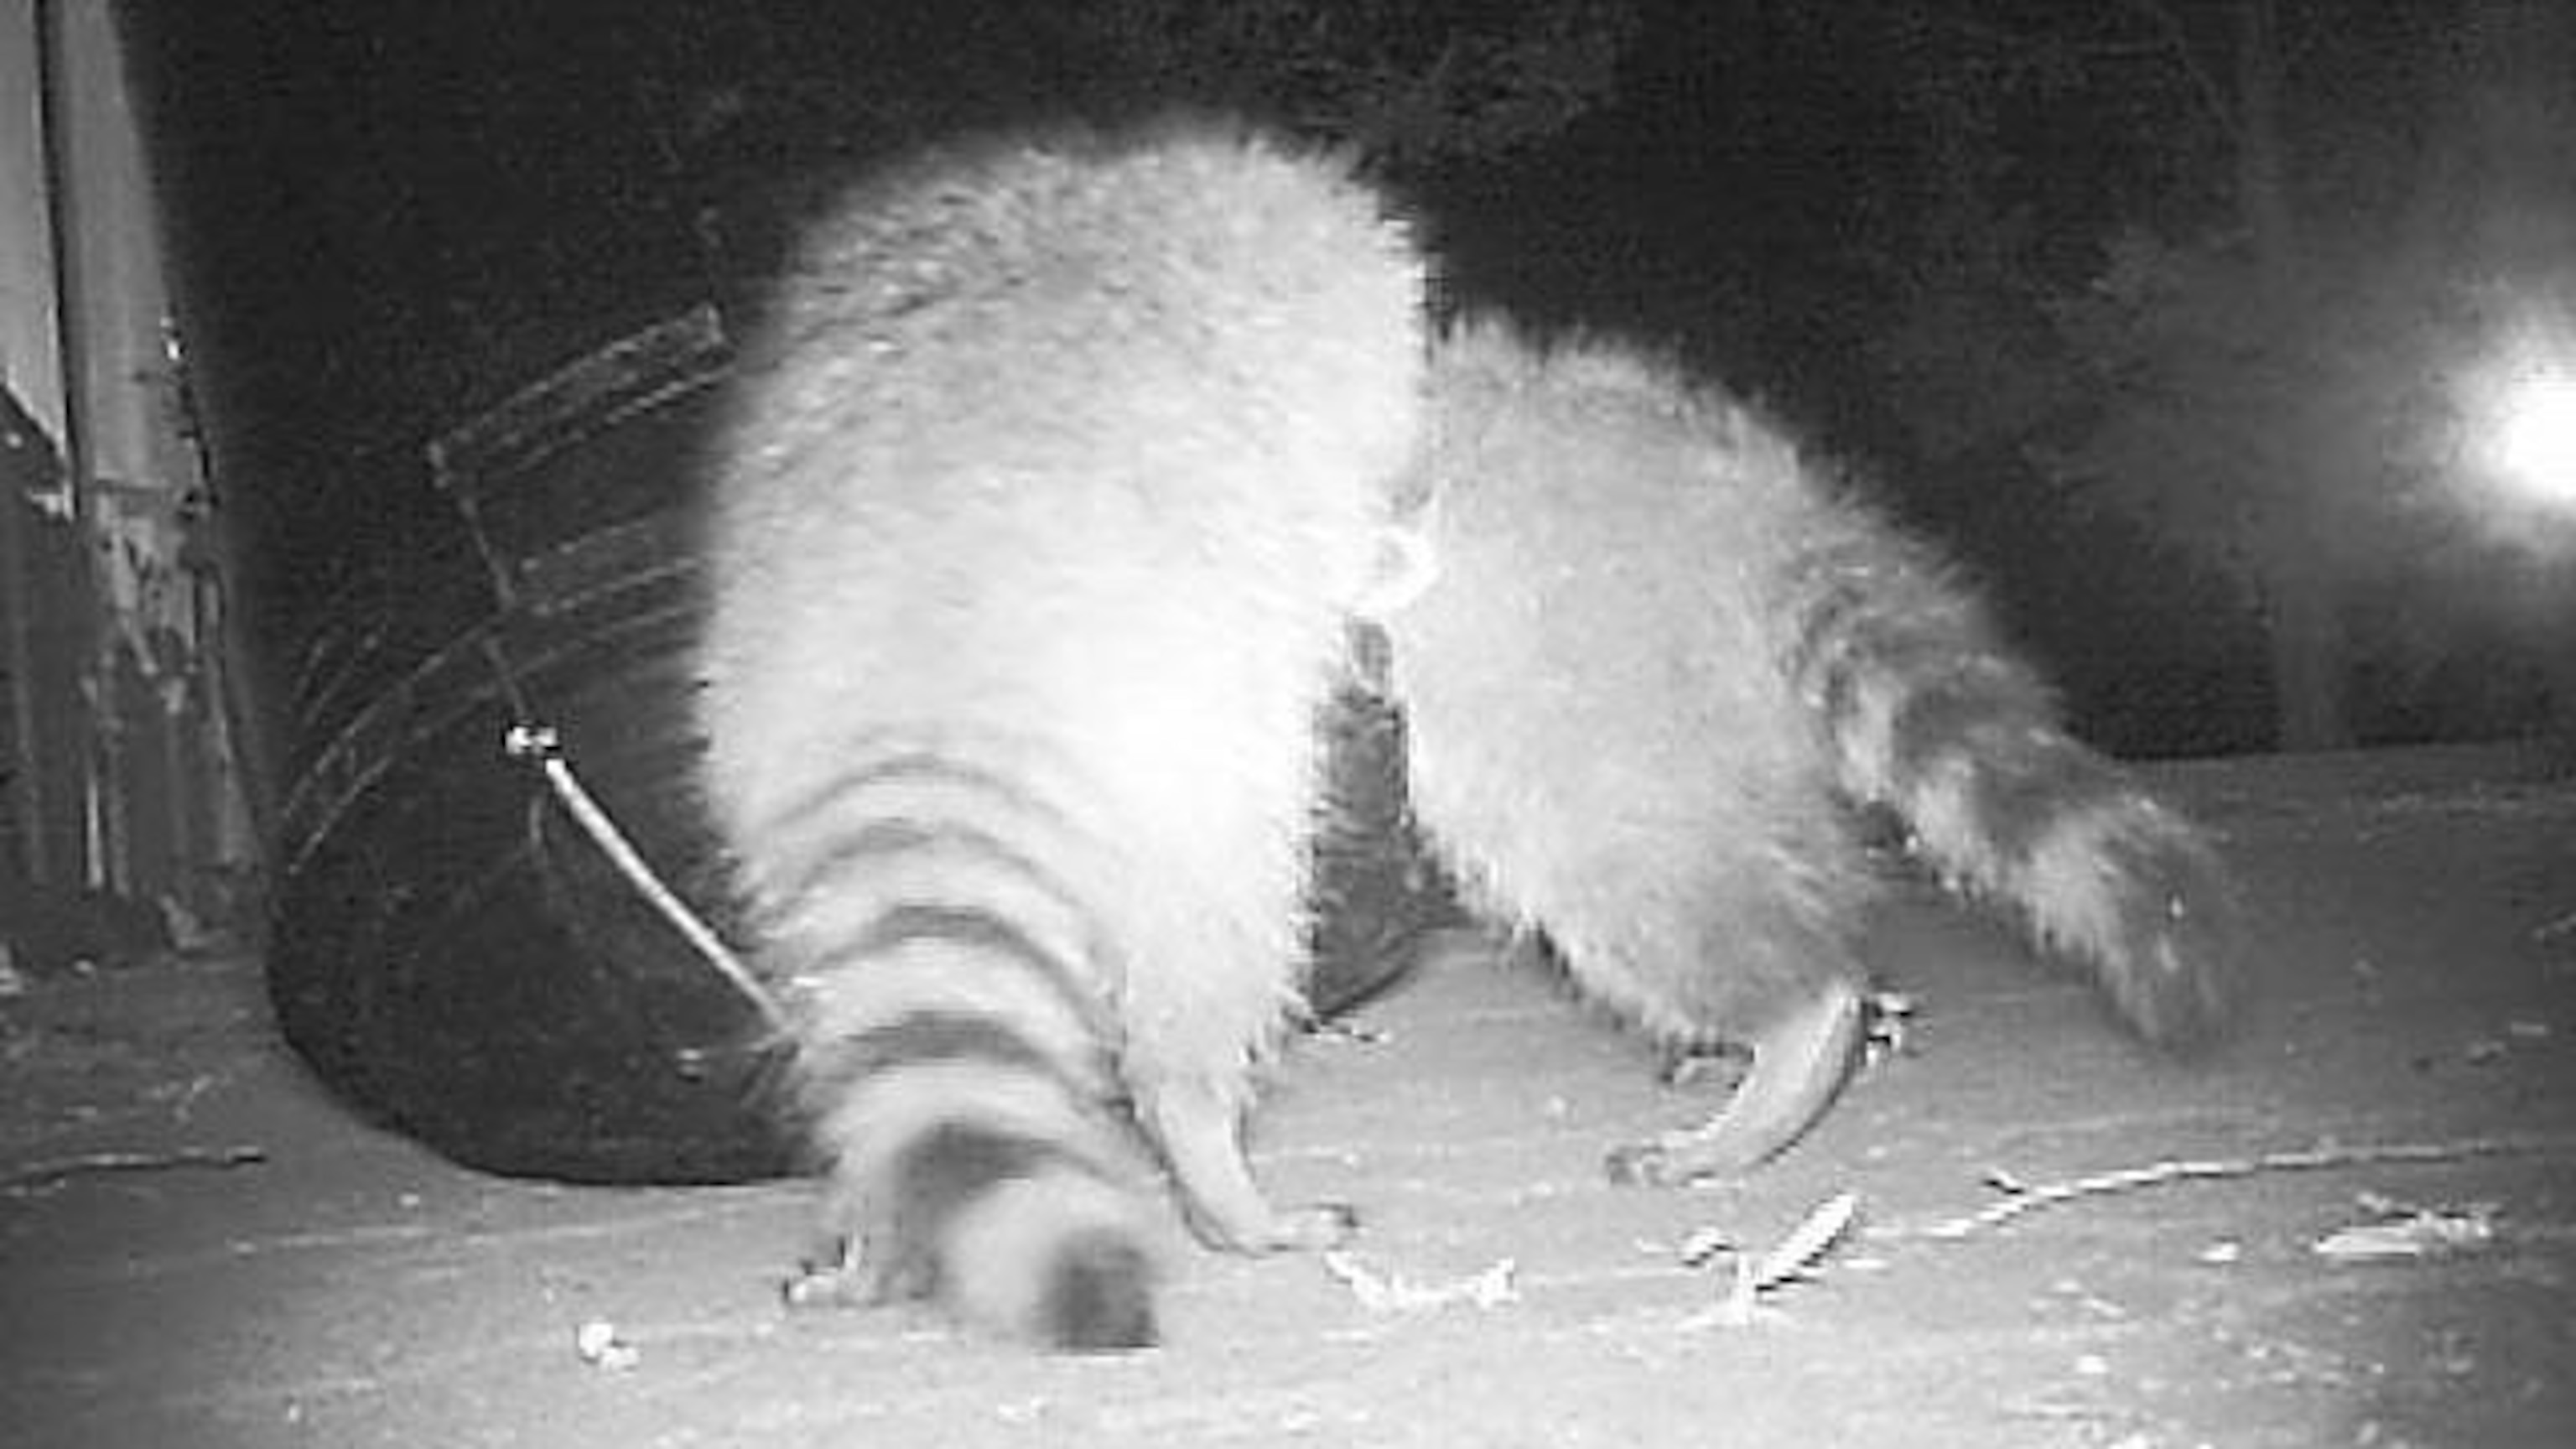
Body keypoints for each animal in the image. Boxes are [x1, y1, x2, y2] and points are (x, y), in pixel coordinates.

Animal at [693, 120, 1424, 1350]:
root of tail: (937, 645)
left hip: (763, 777)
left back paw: (875, 1220)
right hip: (1203, 765)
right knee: (1211, 976)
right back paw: (1215, 1165)